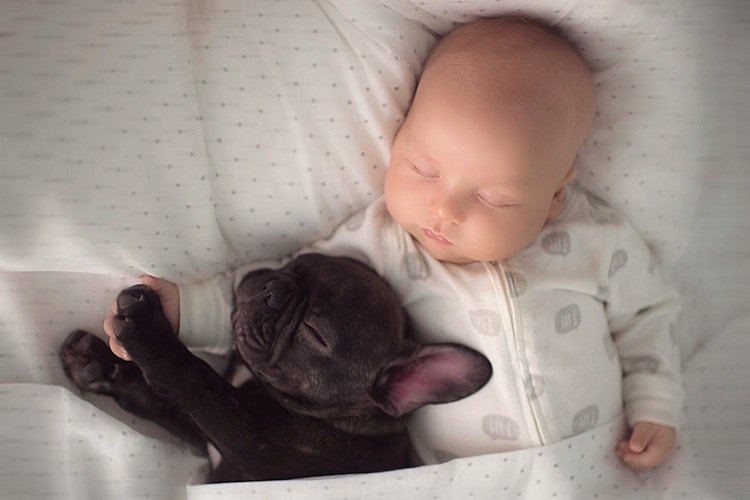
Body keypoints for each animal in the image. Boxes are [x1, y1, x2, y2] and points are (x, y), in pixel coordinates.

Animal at [60, 253, 492, 482]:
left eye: (314, 333)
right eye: (300, 262)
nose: (275, 288)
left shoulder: (250, 436)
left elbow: (194, 380)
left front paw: (149, 332)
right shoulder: (208, 432)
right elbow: (160, 401)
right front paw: (99, 364)